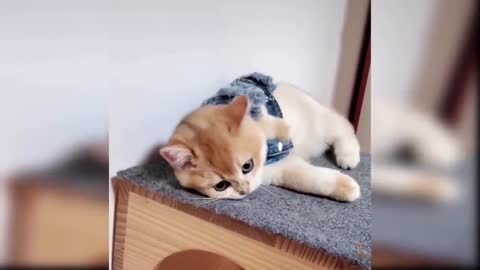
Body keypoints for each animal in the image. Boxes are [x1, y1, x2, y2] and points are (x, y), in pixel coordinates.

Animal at [160, 81, 360, 201]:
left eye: (247, 166)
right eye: (221, 186)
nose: (244, 190)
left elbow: (271, 123)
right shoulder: (281, 169)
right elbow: (310, 179)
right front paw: (345, 187)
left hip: (322, 123)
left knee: (345, 128)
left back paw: (348, 156)